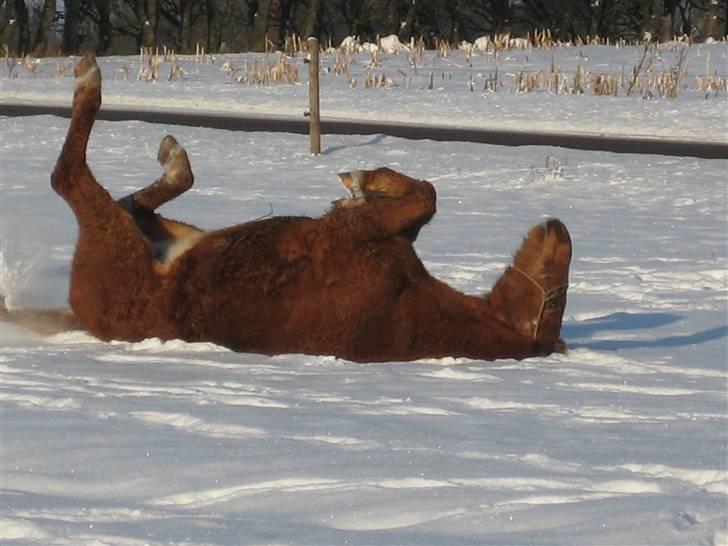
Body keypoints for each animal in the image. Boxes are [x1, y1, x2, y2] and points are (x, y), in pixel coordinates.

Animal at [0, 55, 572, 362]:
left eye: (552, 299)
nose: (559, 227)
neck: (411, 308)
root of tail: (85, 312)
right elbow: (425, 196)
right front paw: (365, 180)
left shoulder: (365, 237)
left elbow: (423, 197)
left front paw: (360, 182)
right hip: (166, 229)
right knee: (140, 196)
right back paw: (172, 154)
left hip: (115, 238)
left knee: (70, 176)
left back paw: (90, 79)